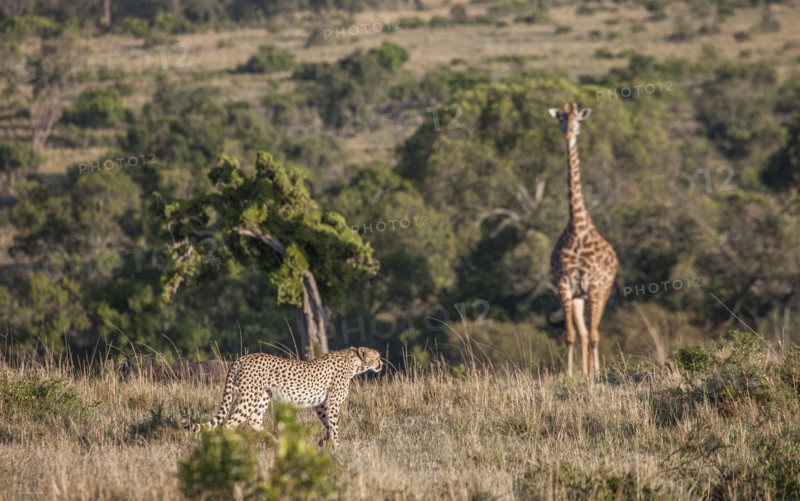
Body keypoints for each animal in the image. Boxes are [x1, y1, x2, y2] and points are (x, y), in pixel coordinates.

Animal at [181, 347, 383, 448]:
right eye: (377, 356)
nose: (381, 363)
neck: (354, 362)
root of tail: (243, 357)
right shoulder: (332, 403)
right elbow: (335, 427)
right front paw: (337, 449)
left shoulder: (321, 404)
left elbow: (328, 427)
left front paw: (322, 443)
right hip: (249, 398)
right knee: (228, 424)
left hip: (262, 397)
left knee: (254, 422)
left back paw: (277, 444)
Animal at [548, 102, 618, 376]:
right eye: (560, 120)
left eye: (578, 121)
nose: (569, 136)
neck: (577, 227)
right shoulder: (565, 286)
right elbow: (571, 335)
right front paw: (568, 374)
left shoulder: (594, 287)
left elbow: (593, 334)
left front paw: (593, 374)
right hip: (580, 297)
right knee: (585, 333)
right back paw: (586, 371)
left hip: (603, 292)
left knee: (595, 332)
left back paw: (595, 372)